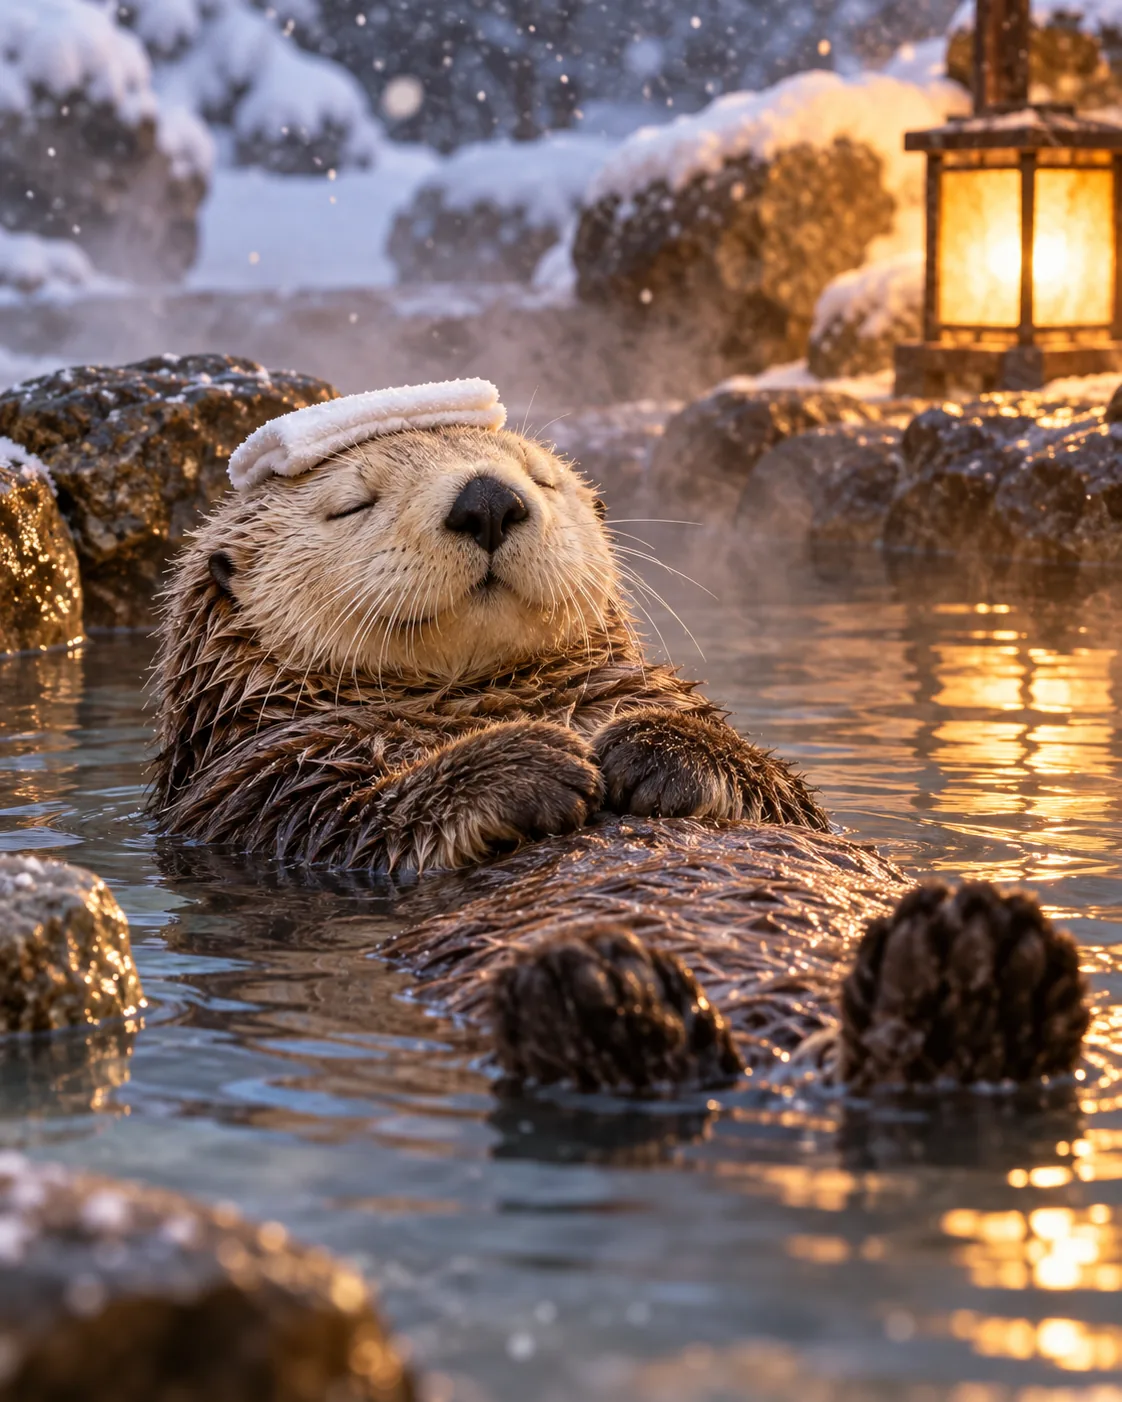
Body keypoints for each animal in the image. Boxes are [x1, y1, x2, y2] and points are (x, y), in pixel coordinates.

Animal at [149, 382, 1092, 1095]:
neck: (477, 698)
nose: (487, 499)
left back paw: (968, 965)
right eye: (353, 503)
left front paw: (649, 748)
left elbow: (783, 793)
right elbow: (361, 820)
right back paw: (601, 990)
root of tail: (780, 1073)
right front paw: (534, 760)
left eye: (538, 477)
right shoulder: (258, 789)